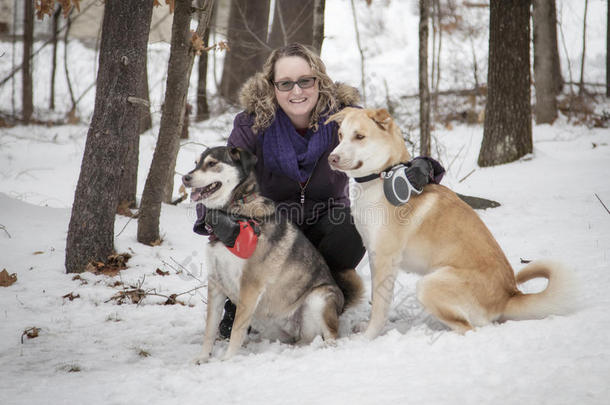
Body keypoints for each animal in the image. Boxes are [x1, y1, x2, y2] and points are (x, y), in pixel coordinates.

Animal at [326, 107, 572, 338]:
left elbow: (379, 307)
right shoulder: (374, 255)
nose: (332, 158)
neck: (382, 176)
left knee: (470, 328)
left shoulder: (386, 259)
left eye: (359, 136)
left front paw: (367, 337)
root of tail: (509, 295)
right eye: (340, 135)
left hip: (428, 285)